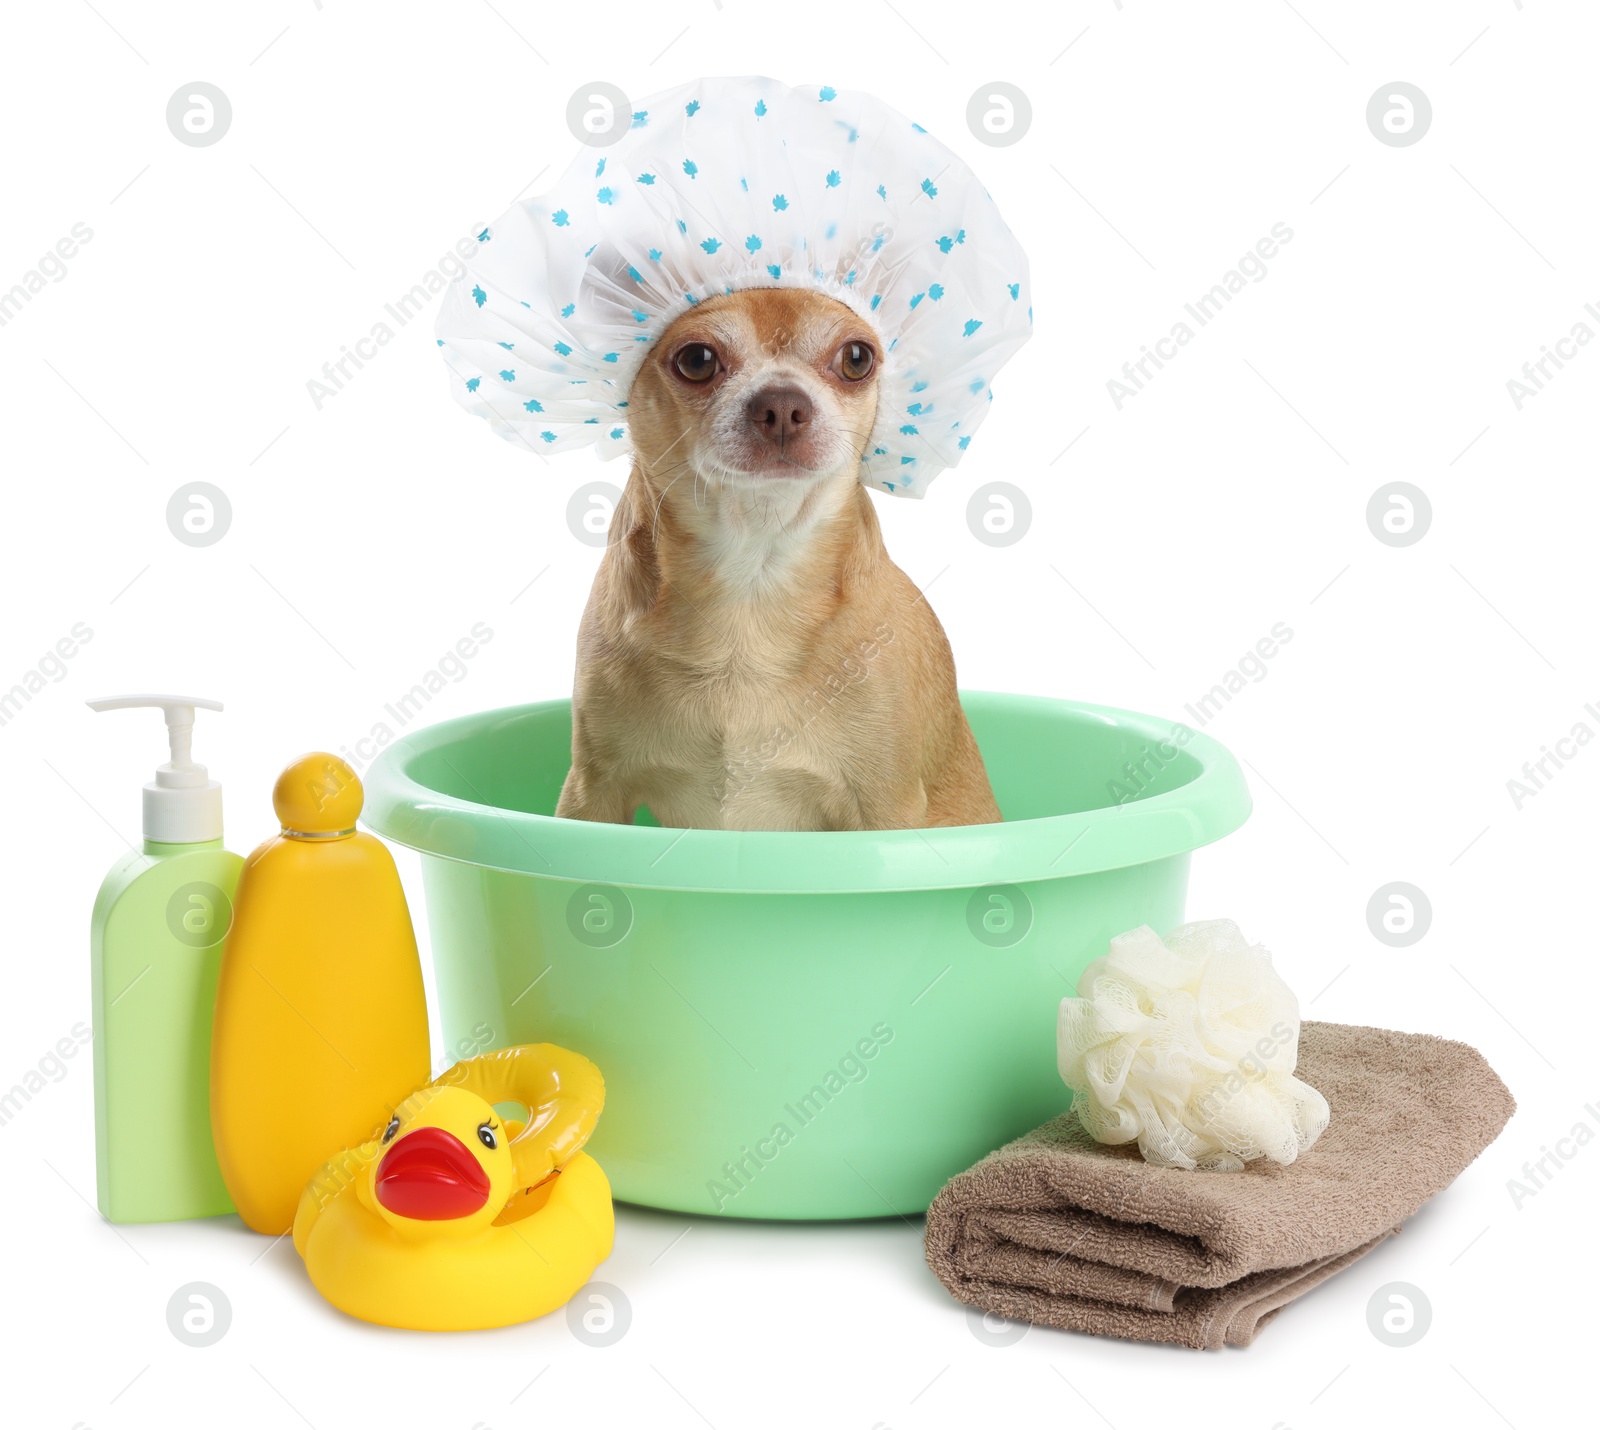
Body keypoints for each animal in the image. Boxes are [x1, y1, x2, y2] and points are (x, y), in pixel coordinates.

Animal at [553, 284, 998, 831]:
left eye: (857, 359)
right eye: (697, 360)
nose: (783, 403)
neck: (754, 571)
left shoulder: (885, 811)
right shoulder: (591, 793)